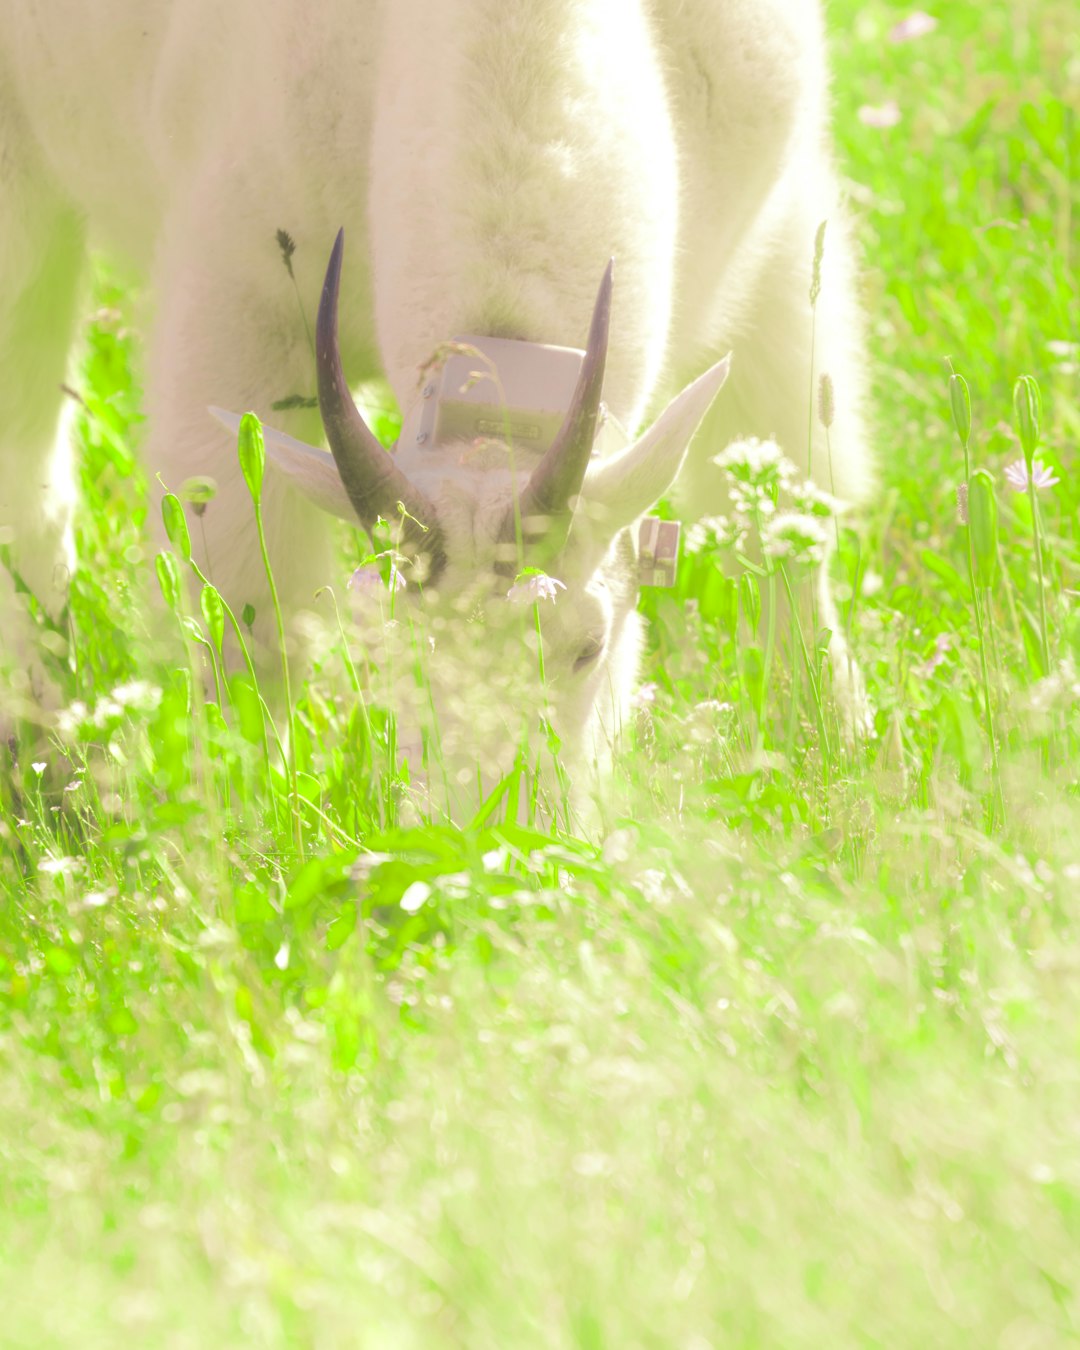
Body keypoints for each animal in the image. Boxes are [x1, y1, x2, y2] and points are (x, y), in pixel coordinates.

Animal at [0, 0, 874, 799]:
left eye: (586, 647)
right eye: (380, 650)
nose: (496, 841)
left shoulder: (780, 225)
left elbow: (790, 519)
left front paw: (833, 749)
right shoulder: (240, 300)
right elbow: (247, 620)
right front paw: (241, 822)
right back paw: (39, 749)